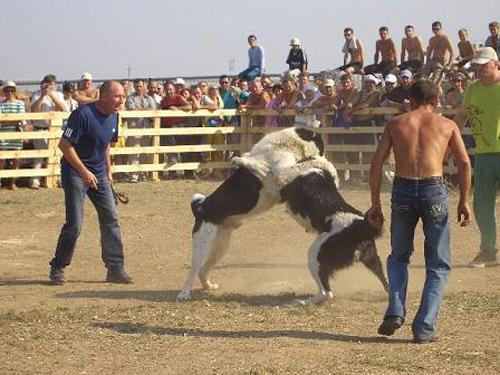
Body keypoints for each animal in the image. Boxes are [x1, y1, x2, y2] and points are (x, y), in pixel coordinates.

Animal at [178, 128, 388, 304]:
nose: (321, 154)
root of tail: (201, 206)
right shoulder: (278, 177)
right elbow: (260, 165)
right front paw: (240, 160)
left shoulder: (278, 178)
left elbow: (262, 167)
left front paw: (240, 160)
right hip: (208, 245)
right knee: (196, 269)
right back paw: (189, 292)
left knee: (328, 292)